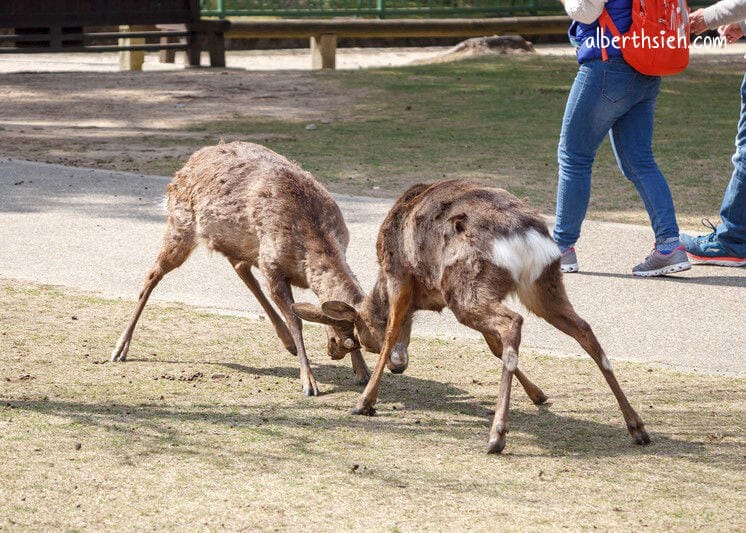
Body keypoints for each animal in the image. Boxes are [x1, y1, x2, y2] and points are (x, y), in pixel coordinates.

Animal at [111, 141, 371, 396]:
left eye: (357, 336)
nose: (333, 352)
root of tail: (186, 166)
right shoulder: (271, 266)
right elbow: (296, 321)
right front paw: (309, 383)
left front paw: (363, 373)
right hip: (180, 225)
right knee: (153, 273)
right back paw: (120, 349)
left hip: (238, 242)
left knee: (238, 266)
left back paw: (287, 343)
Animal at [293, 180, 650, 453]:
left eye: (365, 340)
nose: (399, 367)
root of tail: (523, 236)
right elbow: (491, 346)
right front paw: (538, 394)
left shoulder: (400, 274)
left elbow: (394, 330)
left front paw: (365, 402)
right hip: (540, 284)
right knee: (583, 329)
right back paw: (637, 426)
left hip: (467, 285)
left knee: (512, 322)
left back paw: (497, 435)